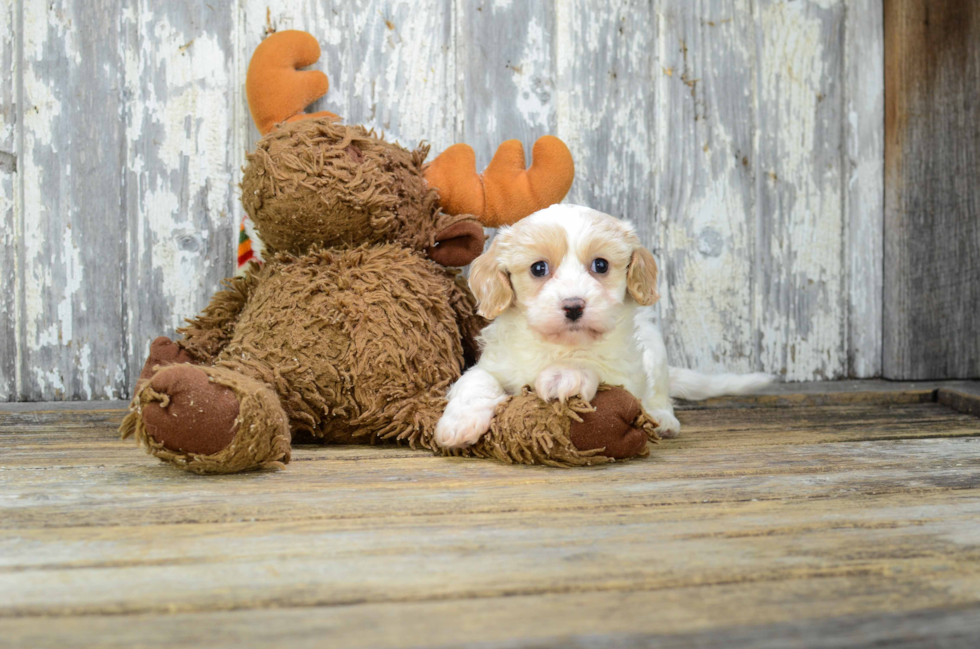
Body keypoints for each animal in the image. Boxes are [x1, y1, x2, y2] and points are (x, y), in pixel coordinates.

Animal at [436, 205, 772, 448]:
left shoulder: (626, 373)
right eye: (538, 268)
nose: (573, 306)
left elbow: (593, 365)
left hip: (656, 353)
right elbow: (476, 379)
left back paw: (663, 419)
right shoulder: (496, 363)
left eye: (600, 265)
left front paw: (565, 375)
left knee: (660, 394)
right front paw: (458, 423)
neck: (559, 345)